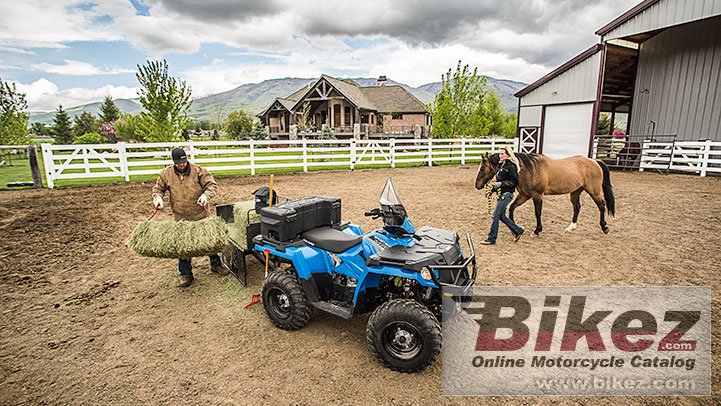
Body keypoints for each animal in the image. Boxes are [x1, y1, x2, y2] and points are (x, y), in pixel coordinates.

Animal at [476, 152, 616, 235]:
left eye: (482, 168)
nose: (477, 185)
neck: (529, 170)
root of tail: (595, 161)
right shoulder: (525, 195)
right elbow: (512, 208)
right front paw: (513, 228)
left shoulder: (537, 195)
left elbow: (538, 212)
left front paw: (537, 230)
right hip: (576, 192)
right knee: (577, 207)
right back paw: (571, 227)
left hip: (594, 191)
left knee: (601, 205)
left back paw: (604, 227)